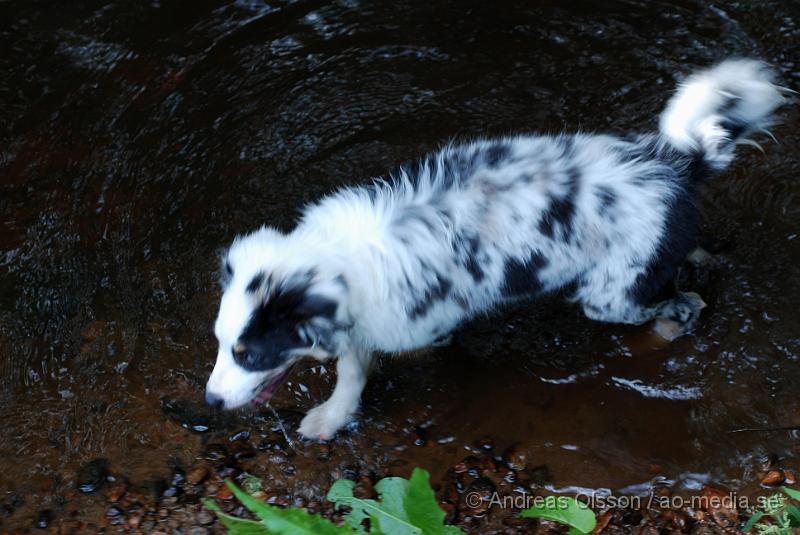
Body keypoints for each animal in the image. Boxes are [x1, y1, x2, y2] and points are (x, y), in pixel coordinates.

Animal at [206, 59, 788, 440]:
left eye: (250, 354)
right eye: (219, 343)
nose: (210, 401)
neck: (337, 257)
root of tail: (671, 163)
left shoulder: (412, 320)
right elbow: (350, 373)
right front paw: (330, 419)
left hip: (611, 294)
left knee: (681, 306)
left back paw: (668, 325)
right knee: (689, 256)